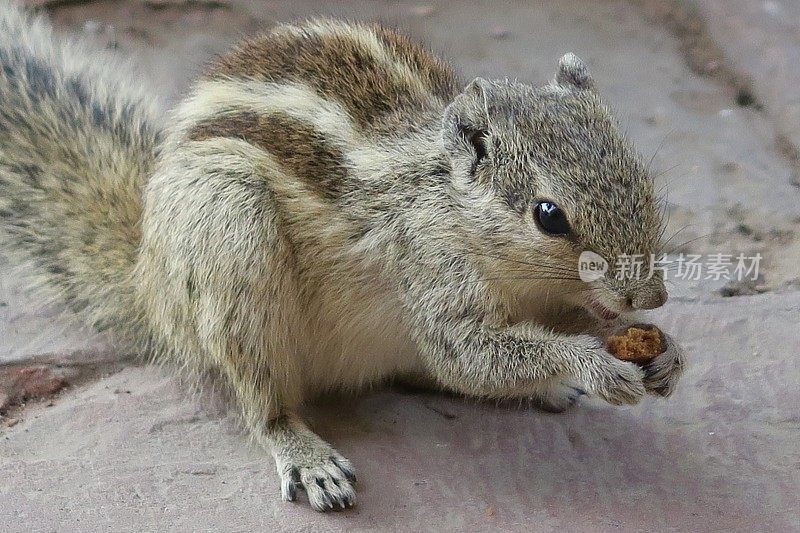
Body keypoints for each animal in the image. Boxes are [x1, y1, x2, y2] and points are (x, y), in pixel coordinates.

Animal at [1, 3, 680, 512]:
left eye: (641, 176)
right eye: (548, 215)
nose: (652, 296)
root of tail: (148, 283)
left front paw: (661, 351)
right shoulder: (428, 269)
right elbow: (467, 353)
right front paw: (594, 364)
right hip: (229, 228)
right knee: (261, 397)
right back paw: (306, 455)